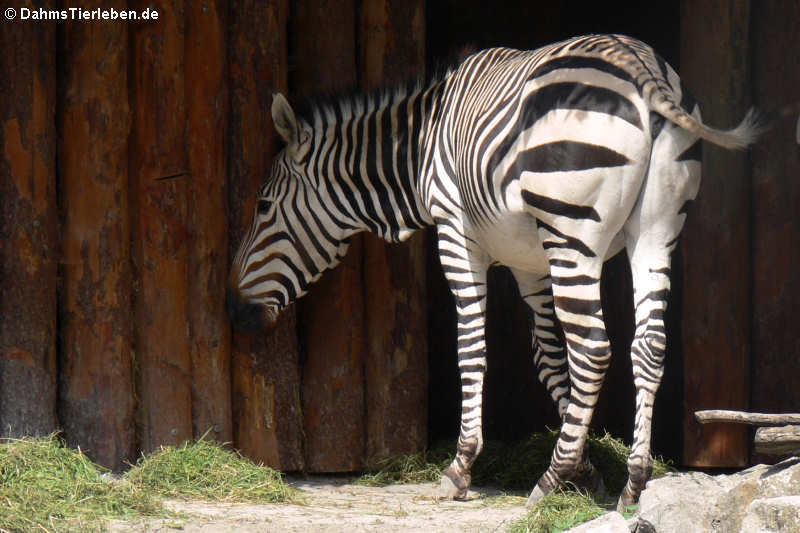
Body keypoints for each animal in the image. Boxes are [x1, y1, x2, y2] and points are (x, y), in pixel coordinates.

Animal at [225, 33, 764, 508]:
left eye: (264, 205)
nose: (232, 308)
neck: (420, 148)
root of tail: (638, 63)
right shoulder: (531, 264)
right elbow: (548, 360)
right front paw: (587, 470)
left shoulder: (456, 234)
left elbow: (472, 348)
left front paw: (461, 468)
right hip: (656, 230)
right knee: (647, 345)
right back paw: (634, 482)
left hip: (572, 233)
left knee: (593, 350)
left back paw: (547, 481)